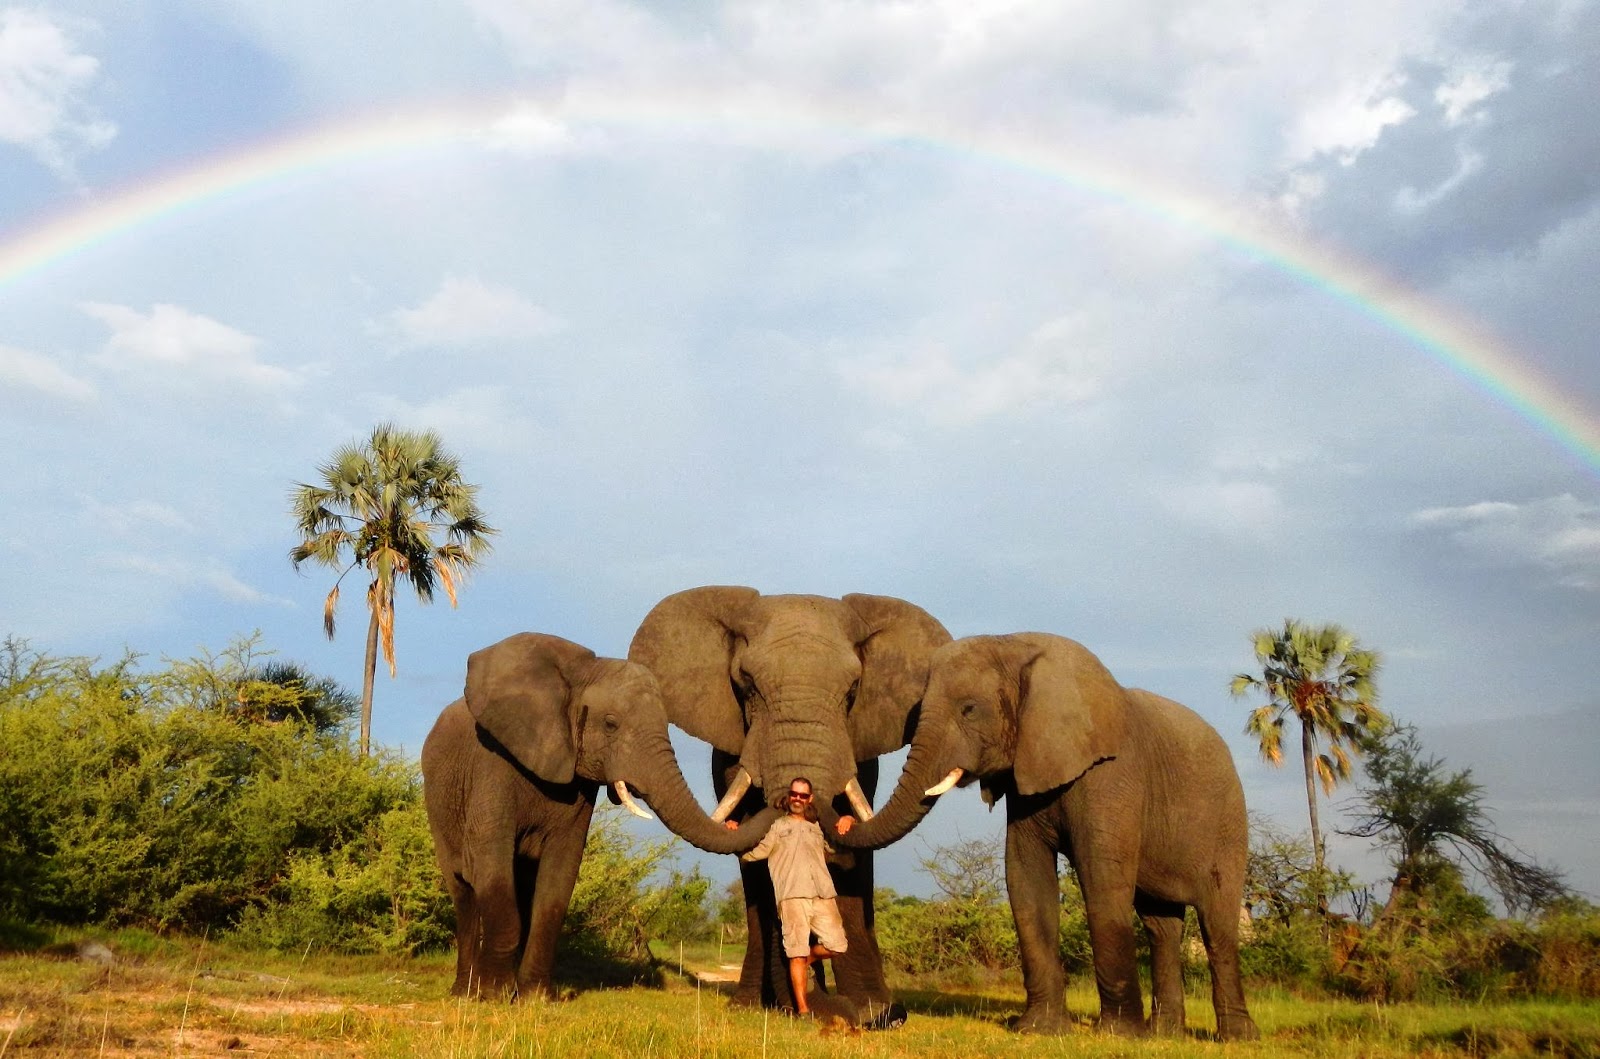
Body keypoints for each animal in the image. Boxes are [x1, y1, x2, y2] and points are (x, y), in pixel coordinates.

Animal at [421, 631, 778, 999]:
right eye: (610, 724)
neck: (579, 674)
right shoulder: (492, 762)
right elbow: (492, 862)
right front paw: (494, 996)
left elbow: (560, 874)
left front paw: (536, 998)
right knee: (463, 892)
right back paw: (464, 992)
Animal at [628, 587, 950, 1023]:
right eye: (746, 682)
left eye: (853, 687)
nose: (795, 797)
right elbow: (755, 865)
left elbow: (852, 859)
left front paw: (875, 1012)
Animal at [836, 633, 1260, 1041]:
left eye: (969, 709)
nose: (842, 823)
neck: (1019, 646)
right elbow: (1026, 877)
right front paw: (1039, 1029)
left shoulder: (1112, 777)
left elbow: (1101, 878)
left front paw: (1119, 1036)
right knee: (1161, 926)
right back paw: (1165, 1035)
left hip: (1228, 821)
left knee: (1218, 922)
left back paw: (1236, 1038)